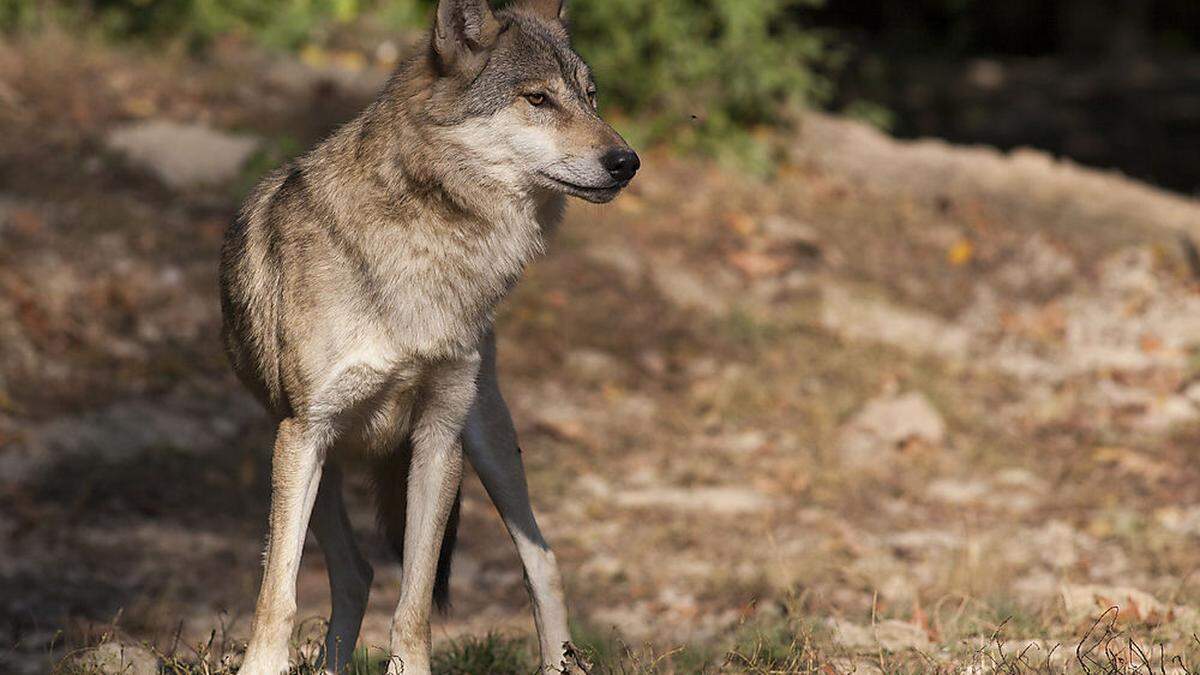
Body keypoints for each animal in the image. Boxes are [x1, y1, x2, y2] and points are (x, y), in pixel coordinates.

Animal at [220, 0, 643, 667]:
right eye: (539, 99)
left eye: (590, 97)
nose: (627, 162)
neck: (430, 241)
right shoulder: (305, 431)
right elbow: (276, 594)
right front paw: (262, 666)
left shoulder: (439, 439)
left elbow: (414, 604)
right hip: (311, 456)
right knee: (355, 573)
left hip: (490, 442)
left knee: (542, 562)